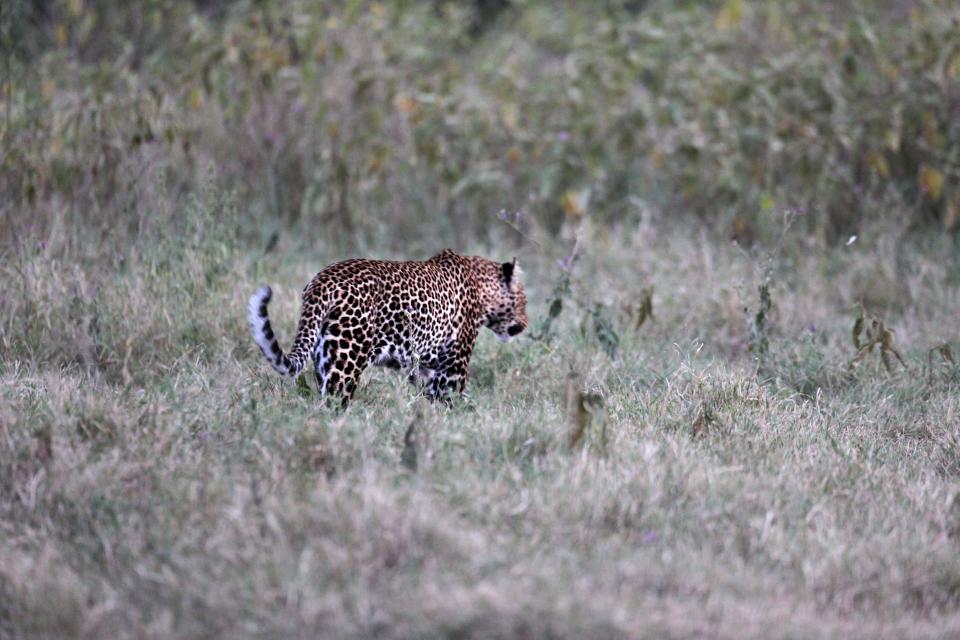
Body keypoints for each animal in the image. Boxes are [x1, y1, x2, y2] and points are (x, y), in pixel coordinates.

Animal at [248, 249, 528, 404]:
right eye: (524, 299)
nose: (525, 324)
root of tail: (322, 282)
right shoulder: (454, 365)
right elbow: (450, 399)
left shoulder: (425, 367)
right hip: (347, 360)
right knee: (334, 402)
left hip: (324, 356)